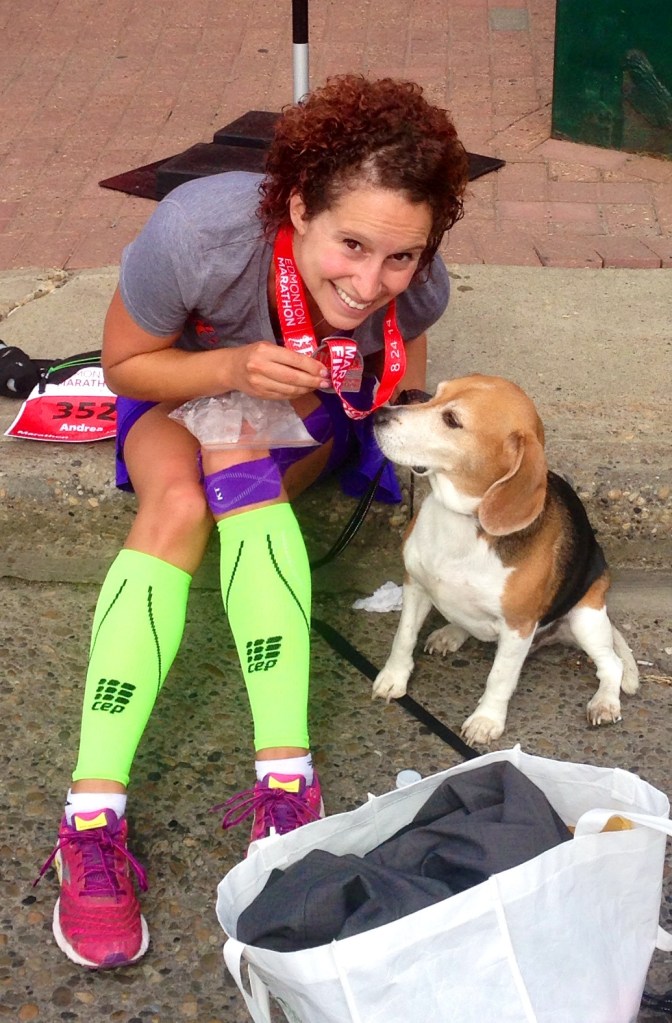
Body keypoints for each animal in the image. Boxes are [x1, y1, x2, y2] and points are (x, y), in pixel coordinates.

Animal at [371, 374, 639, 745]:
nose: (378, 415)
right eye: (435, 394)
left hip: (586, 618)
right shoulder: (415, 585)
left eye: (452, 420)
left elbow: (499, 677)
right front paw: (393, 678)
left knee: (611, 664)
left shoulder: (517, 627)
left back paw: (605, 702)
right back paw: (451, 633)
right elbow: (403, 637)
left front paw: (486, 720)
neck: (462, 522)